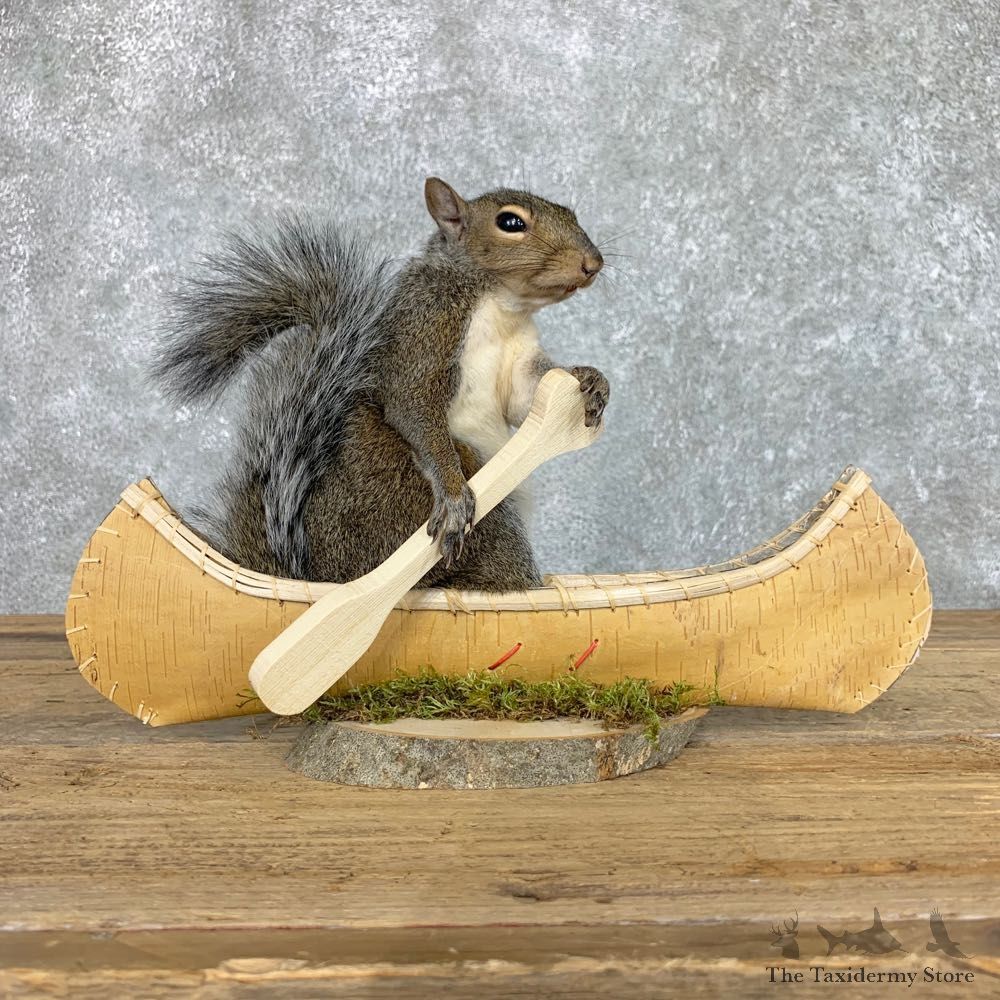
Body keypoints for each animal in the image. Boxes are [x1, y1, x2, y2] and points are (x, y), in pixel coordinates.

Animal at [153, 177, 609, 592]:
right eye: (510, 222)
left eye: (571, 213)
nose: (593, 263)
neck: (501, 305)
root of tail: (328, 578)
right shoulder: (422, 333)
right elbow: (413, 406)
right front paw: (453, 495)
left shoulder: (516, 363)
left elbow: (526, 399)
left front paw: (590, 381)